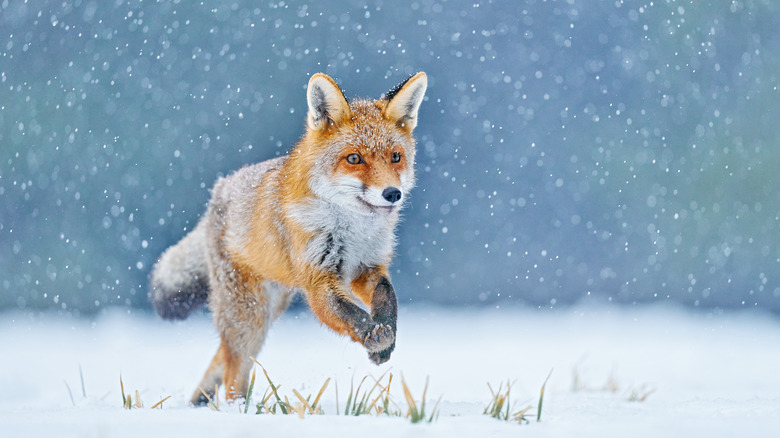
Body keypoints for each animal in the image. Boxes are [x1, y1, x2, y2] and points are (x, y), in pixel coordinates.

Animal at [149, 71, 430, 404]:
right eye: (354, 159)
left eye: (396, 157)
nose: (392, 193)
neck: (353, 231)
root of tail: (218, 192)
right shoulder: (318, 280)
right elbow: (350, 314)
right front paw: (372, 336)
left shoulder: (368, 267)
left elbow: (388, 299)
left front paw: (387, 336)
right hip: (248, 316)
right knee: (233, 372)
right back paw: (236, 409)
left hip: (268, 310)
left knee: (222, 358)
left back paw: (198, 403)